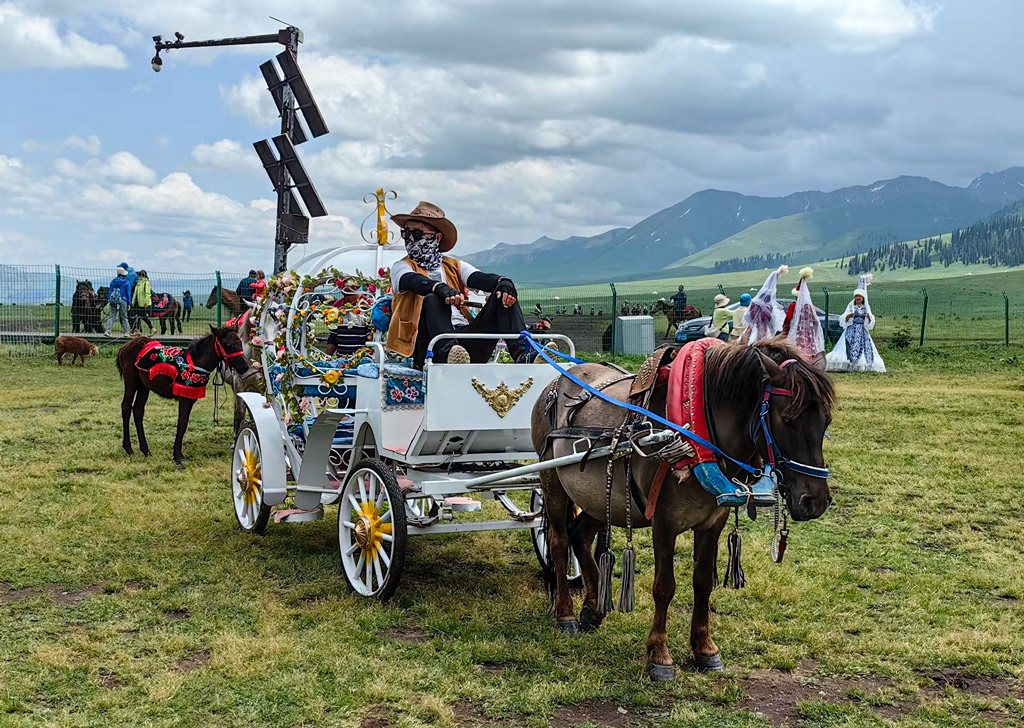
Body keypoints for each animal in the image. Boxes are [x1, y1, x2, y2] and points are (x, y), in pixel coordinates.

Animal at [117, 325, 256, 466]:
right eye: (228, 344)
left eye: (239, 343)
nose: (244, 367)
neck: (195, 363)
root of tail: (125, 346)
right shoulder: (184, 397)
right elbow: (182, 423)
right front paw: (178, 457)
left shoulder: (190, 398)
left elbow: (184, 423)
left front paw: (178, 455)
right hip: (131, 382)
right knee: (126, 408)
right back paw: (129, 449)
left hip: (144, 387)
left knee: (138, 411)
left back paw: (145, 450)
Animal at [532, 337, 835, 679]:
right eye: (787, 419)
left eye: (826, 421)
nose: (815, 501)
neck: (695, 430)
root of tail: (558, 380)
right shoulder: (664, 522)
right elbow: (664, 587)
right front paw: (659, 656)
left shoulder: (712, 521)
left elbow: (702, 583)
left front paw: (705, 648)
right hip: (552, 481)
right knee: (559, 542)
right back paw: (566, 614)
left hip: (599, 498)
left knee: (579, 536)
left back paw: (592, 610)